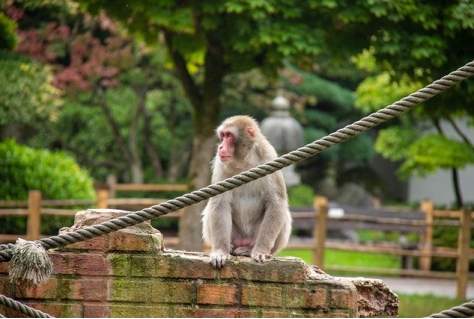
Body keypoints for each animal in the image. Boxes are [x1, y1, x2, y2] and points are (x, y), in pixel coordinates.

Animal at [201, 115, 290, 270]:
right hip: (235, 235)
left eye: (229, 136)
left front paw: (260, 251)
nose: (220, 147)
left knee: (283, 213)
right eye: (222, 136)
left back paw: (249, 250)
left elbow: (276, 203)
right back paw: (230, 247)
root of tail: (243, 241)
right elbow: (219, 203)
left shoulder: (269, 158)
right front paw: (220, 251)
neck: (245, 161)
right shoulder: (220, 164)